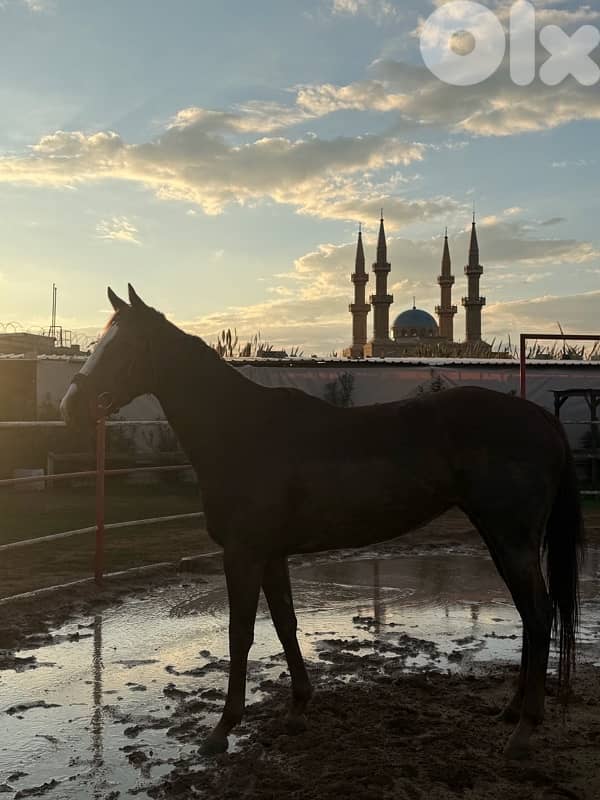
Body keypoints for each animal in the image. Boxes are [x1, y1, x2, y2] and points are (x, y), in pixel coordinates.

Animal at [60, 285, 585, 760]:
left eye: (123, 347)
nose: (70, 408)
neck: (241, 429)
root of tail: (540, 417)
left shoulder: (244, 554)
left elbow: (240, 633)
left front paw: (222, 730)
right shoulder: (270, 554)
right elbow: (285, 623)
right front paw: (297, 708)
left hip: (511, 539)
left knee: (539, 615)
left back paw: (524, 732)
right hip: (500, 537)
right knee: (530, 615)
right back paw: (511, 712)